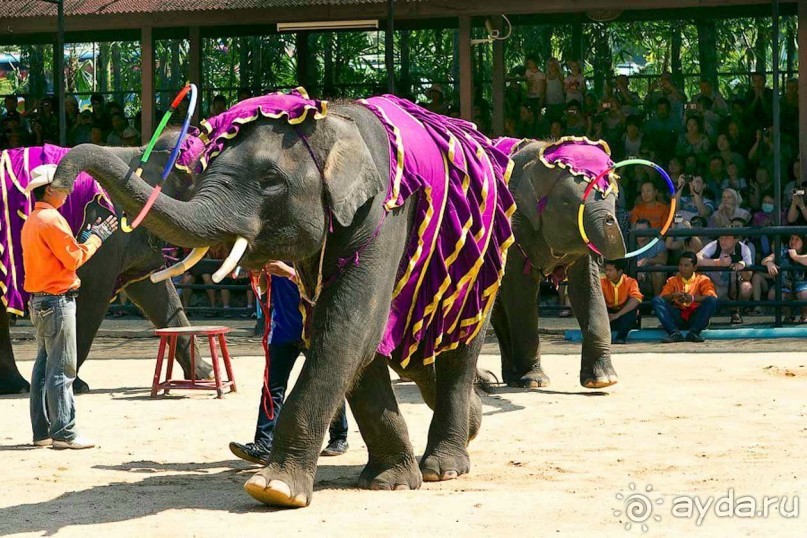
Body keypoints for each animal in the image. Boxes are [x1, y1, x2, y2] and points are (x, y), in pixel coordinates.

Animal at [0, 142, 213, 394]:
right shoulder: (103, 233)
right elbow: (93, 297)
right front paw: (77, 386)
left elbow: (156, 291)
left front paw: (206, 374)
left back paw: (15, 386)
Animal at [53, 92, 516, 506]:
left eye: (270, 181)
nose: (59, 187)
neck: (331, 122)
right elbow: (352, 336)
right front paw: (389, 483)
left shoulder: (383, 213)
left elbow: (350, 326)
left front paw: (275, 488)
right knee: (413, 351)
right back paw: (471, 423)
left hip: (483, 262)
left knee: (459, 347)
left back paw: (444, 466)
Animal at [490, 137, 628, 390]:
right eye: (566, 203)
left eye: (614, 197)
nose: (610, 219)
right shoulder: (515, 228)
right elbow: (521, 291)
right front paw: (535, 381)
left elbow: (586, 287)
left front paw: (603, 381)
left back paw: (511, 378)